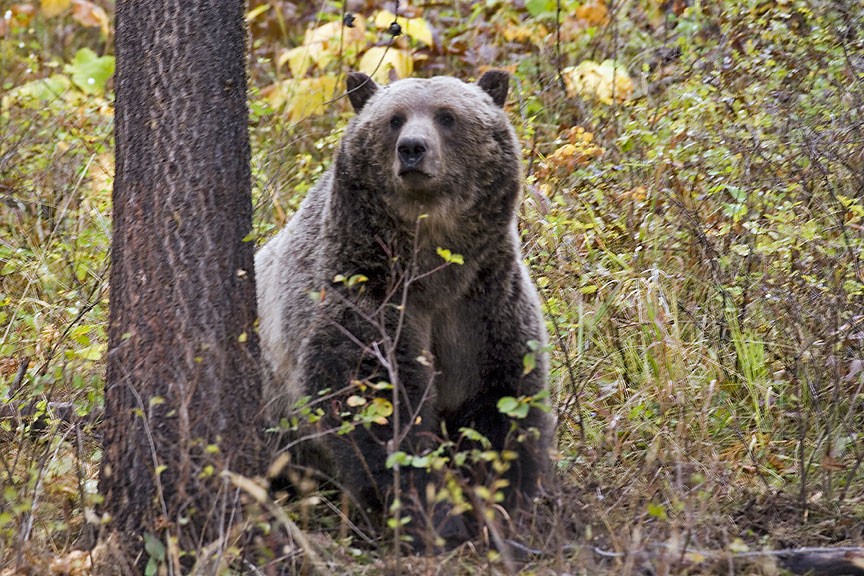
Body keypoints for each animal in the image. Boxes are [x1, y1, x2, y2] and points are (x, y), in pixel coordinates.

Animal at [255, 70, 550, 546]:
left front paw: (503, 505)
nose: (412, 148)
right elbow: (378, 405)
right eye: (394, 118)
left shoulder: (482, 303)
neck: (432, 267)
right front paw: (431, 517)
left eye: (447, 116)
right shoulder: (365, 293)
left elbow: (501, 401)